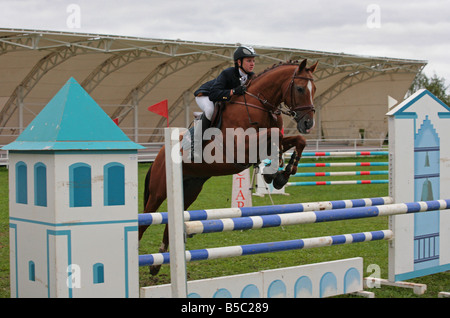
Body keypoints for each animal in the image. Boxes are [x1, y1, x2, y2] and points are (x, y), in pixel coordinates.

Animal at [139, 59, 318, 276]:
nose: (308, 123)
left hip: (190, 190)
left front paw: (281, 173)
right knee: (146, 218)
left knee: (171, 222)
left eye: (314, 89)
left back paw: (157, 264)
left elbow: (295, 140)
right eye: (300, 88)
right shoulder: (240, 147)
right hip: (159, 190)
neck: (258, 104)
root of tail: (159, 154)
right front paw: (274, 174)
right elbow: (275, 135)